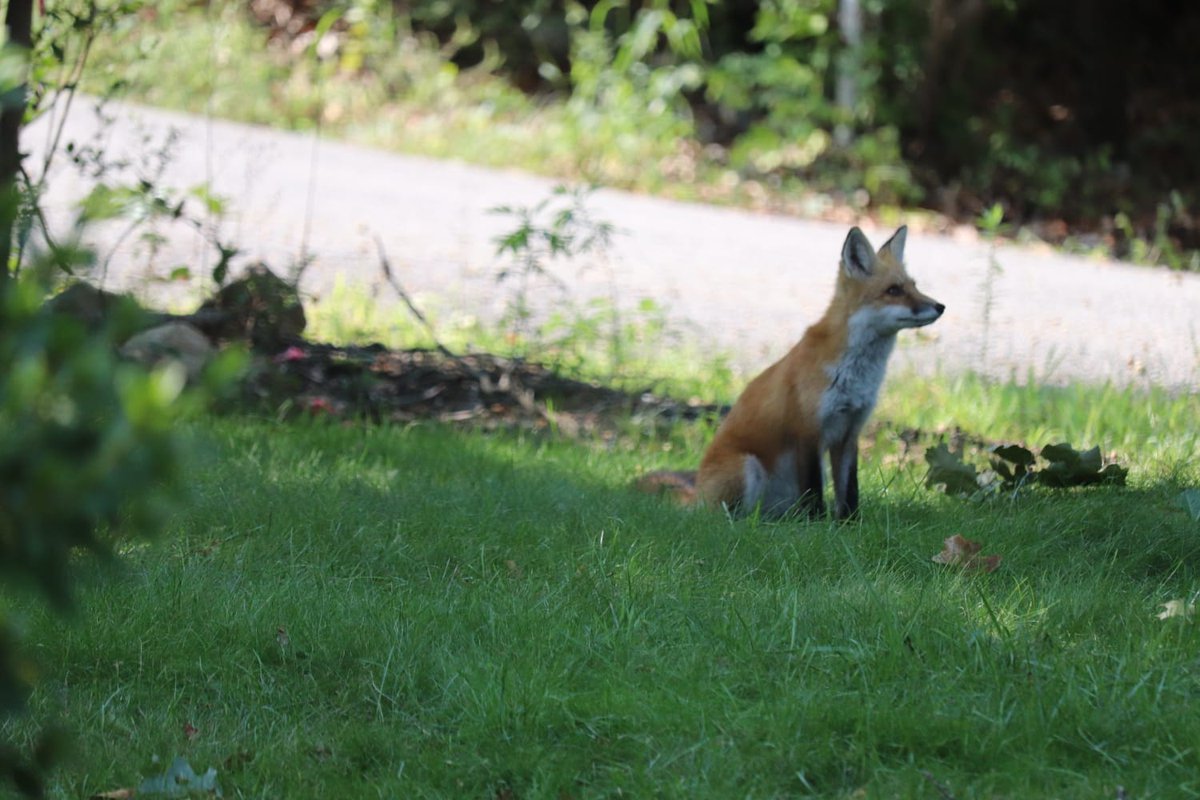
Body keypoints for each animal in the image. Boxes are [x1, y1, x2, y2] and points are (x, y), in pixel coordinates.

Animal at [637, 225, 944, 520]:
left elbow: (849, 492)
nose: (940, 306)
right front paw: (817, 524)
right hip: (746, 466)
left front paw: (849, 525)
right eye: (894, 290)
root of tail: (697, 493)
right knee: (724, 515)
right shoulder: (807, 431)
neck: (856, 375)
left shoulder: (849, 432)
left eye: (914, 286)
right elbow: (815, 490)